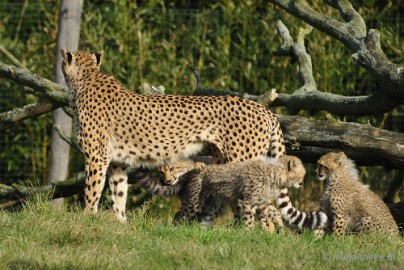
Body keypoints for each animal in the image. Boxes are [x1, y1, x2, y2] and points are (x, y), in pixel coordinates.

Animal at [60, 49, 284, 223]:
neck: (86, 78)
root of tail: (263, 109)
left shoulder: (97, 157)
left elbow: (92, 190)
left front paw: (86, 218)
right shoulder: (117, 161)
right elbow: (119, 193)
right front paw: (121, 223)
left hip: (242, 162)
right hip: (223, 164)